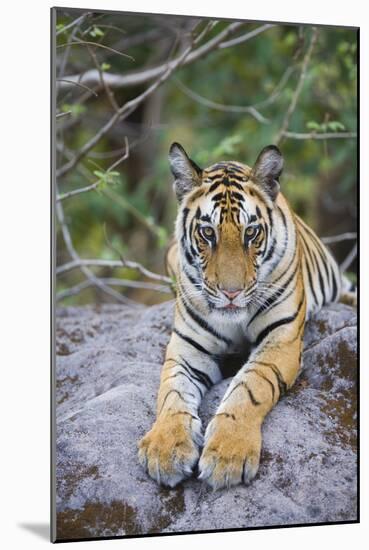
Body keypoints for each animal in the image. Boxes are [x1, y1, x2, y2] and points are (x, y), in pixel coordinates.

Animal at [137, 142, 354, 492]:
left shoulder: (281, 340)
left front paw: (228, 455)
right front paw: (165, 448)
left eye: (251, 232)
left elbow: (249, 387)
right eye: (207, 233)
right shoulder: (186, 349)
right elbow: (171, 392)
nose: (231, 293)